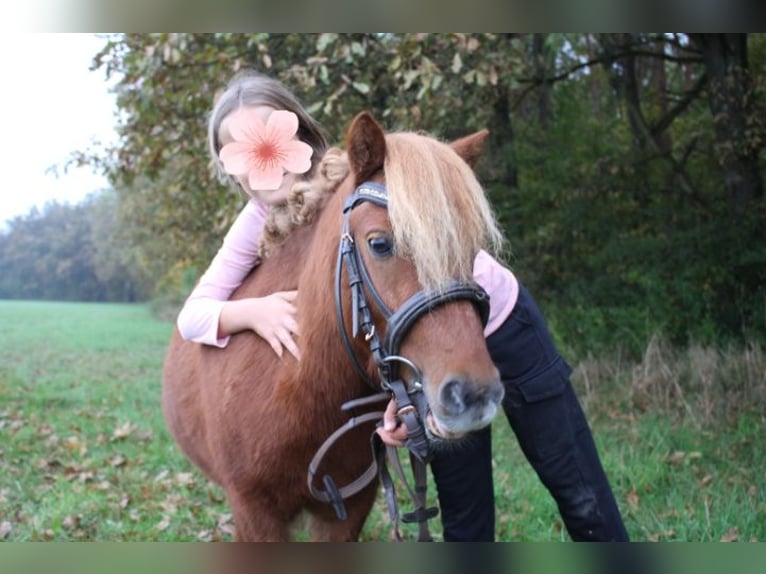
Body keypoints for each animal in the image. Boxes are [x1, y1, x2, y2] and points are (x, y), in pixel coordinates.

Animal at [162, 112, 508, 544]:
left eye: (473, 248)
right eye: (379, 244)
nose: (475, 394)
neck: (299, 387)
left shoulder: (346, 514)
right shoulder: (255, 513)